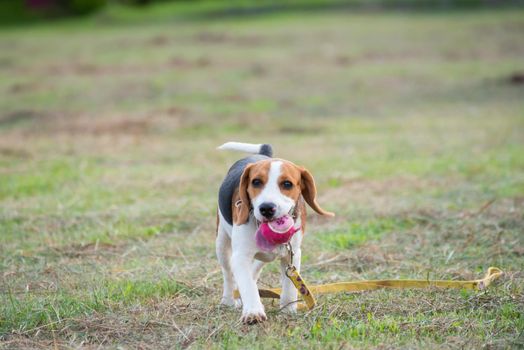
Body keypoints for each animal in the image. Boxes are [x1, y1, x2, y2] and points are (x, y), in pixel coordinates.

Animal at [216, 141, 332, 324]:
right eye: (256, 182)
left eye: (287, 184)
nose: (266, 208)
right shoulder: (240, 256)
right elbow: (247, 285)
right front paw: (253, 311)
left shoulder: (292, 254)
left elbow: (289, 287)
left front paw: (288, 309)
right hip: (221, 243)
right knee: (228, 274)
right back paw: (228, 300)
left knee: (255, 269)